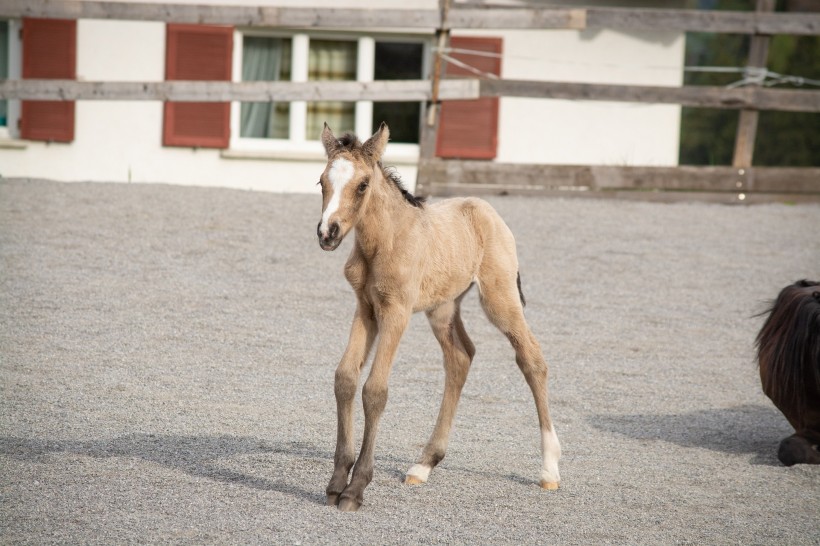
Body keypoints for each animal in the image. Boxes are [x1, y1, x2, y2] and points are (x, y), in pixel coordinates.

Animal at [318, 122, 560, 510]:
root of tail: (485, 209)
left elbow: (375, 389)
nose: (328, 233)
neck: (382, 242)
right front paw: (337, 481)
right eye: (321, 181)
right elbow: (345, 378)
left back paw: (550, 469)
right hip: (443, 308)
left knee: (531, 359)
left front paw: (356, 489)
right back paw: (424, 464)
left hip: (500, 298)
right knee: (461, 357)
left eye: (363, 185)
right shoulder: (366, 308)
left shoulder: (396, 311)